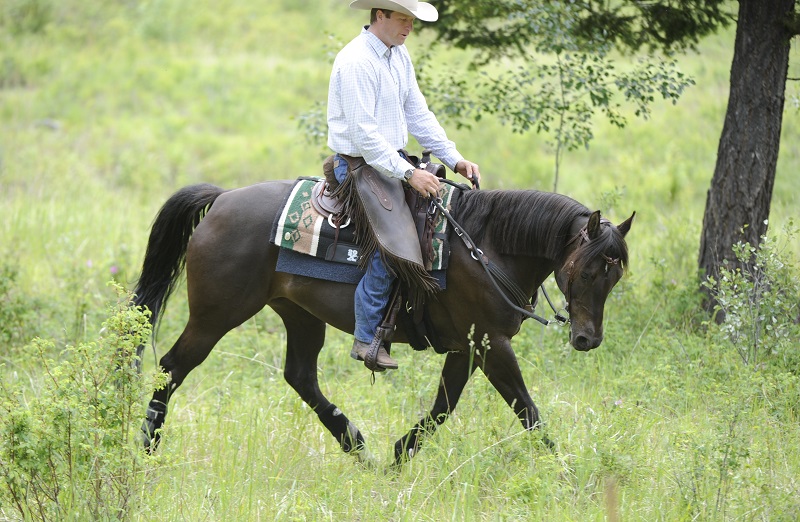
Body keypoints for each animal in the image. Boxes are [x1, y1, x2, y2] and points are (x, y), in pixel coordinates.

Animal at [133, 180, 634, 466]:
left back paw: (357, 446)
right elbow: (526, 409)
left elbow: (443, 407)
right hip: (216, 315)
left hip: (300, 315)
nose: (588, 339)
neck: (486, 247)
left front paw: (397, 457)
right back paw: (146, 448)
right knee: (172, 367)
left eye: (614, 276)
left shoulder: (466, 347)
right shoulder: (490, 344)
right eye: (586, 272)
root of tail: (221, 200)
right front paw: (564, 470)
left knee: (300, 376)